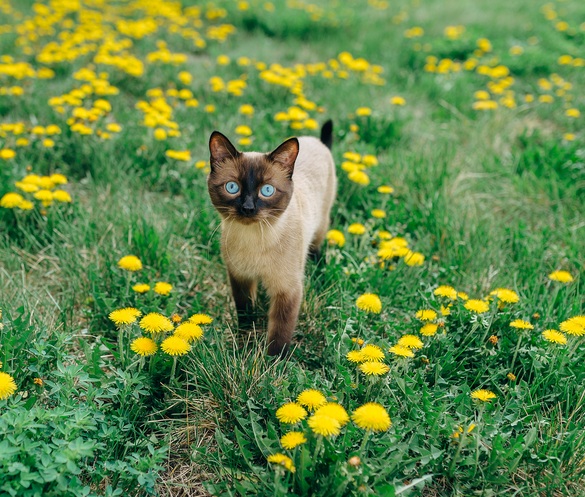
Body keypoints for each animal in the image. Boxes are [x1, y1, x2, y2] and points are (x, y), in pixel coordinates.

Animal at [209, 121, 338, 354]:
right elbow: (246, 314)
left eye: (267, 191)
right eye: (232, 187)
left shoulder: (287, 290)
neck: (253, 240)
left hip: (321, 225)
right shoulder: (240, 277)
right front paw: (245, 341)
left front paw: (274, 360)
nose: (248, 208)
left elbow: (280, 332)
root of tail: (317, 141)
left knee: (317, 248)